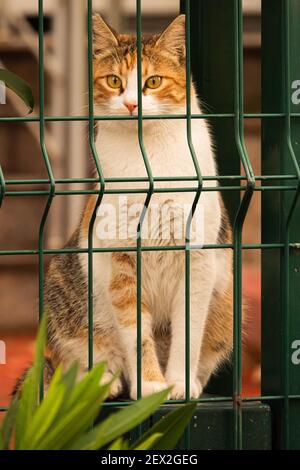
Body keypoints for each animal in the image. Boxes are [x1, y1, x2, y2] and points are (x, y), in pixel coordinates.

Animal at [19, 13, 234, 400]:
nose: (132, 105)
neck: (149, 160)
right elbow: (136, 331)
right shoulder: (120, 261)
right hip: (66, 296)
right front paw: (150, 385)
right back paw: (105, 379)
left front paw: (179, 383)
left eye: (153, 81)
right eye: (114, 81)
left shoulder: (198, 260)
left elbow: (188, 332)